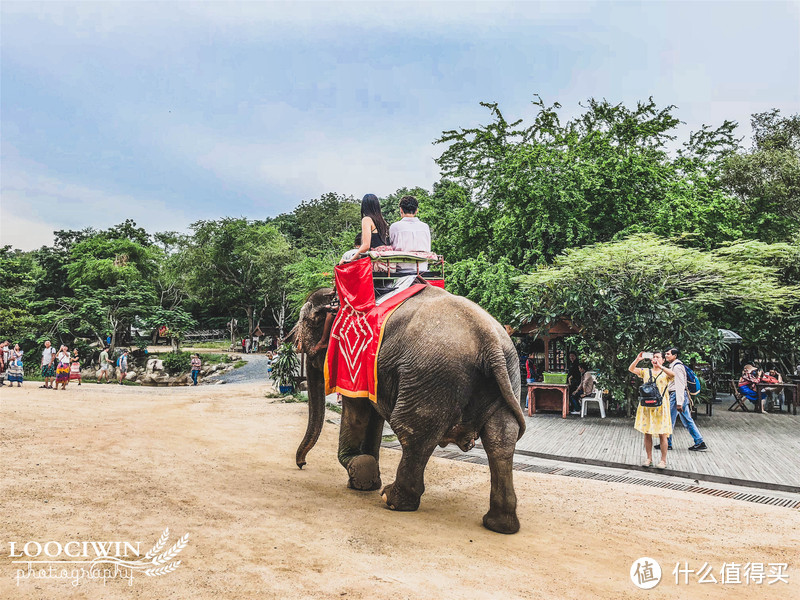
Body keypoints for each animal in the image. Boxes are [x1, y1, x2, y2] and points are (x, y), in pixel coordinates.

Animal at [292, 286, 524, 536]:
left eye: (307, 323)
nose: (302, 465)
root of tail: (489, 340)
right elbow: (373, 417)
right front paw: (367, 480)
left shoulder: (353, 359)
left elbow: (358, 411)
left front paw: (360, 474)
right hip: (507, 376)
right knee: (500, 440)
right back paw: (499, 525)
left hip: (432, 378)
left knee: (414, 435)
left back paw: (391, 499)